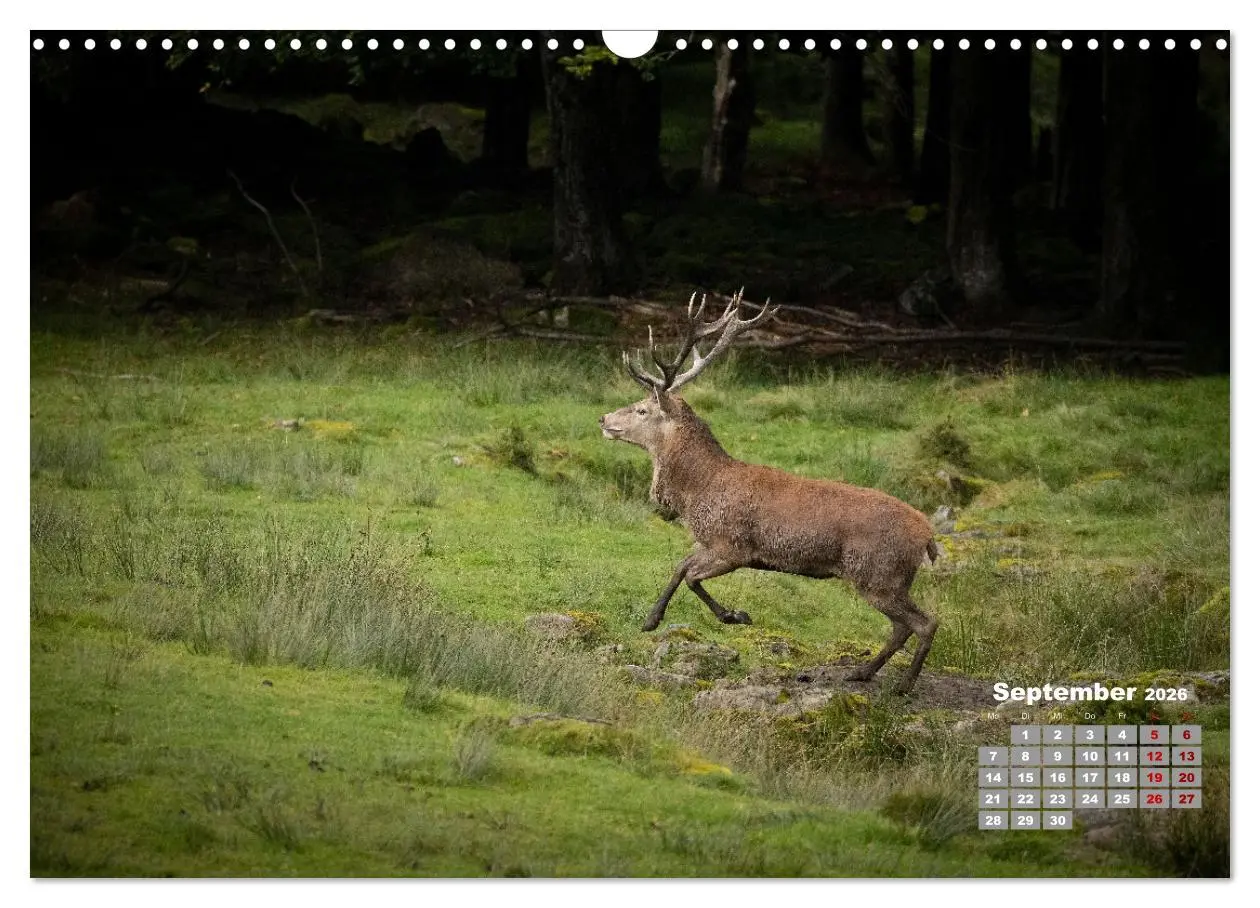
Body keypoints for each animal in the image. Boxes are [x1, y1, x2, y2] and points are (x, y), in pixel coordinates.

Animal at [599, 290, 941, 694]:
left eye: (641, 409)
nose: (603, 419)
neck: (696, 494)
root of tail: (928, 537)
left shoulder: (734, 545)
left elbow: (691, 575)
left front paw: (736, 615)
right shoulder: (708, 542)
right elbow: (680, 566)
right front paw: (652, 620)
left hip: (878, 573)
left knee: (924, 622)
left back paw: (902, 685)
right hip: (891, 578)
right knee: (904, 626)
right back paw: (862, 672)